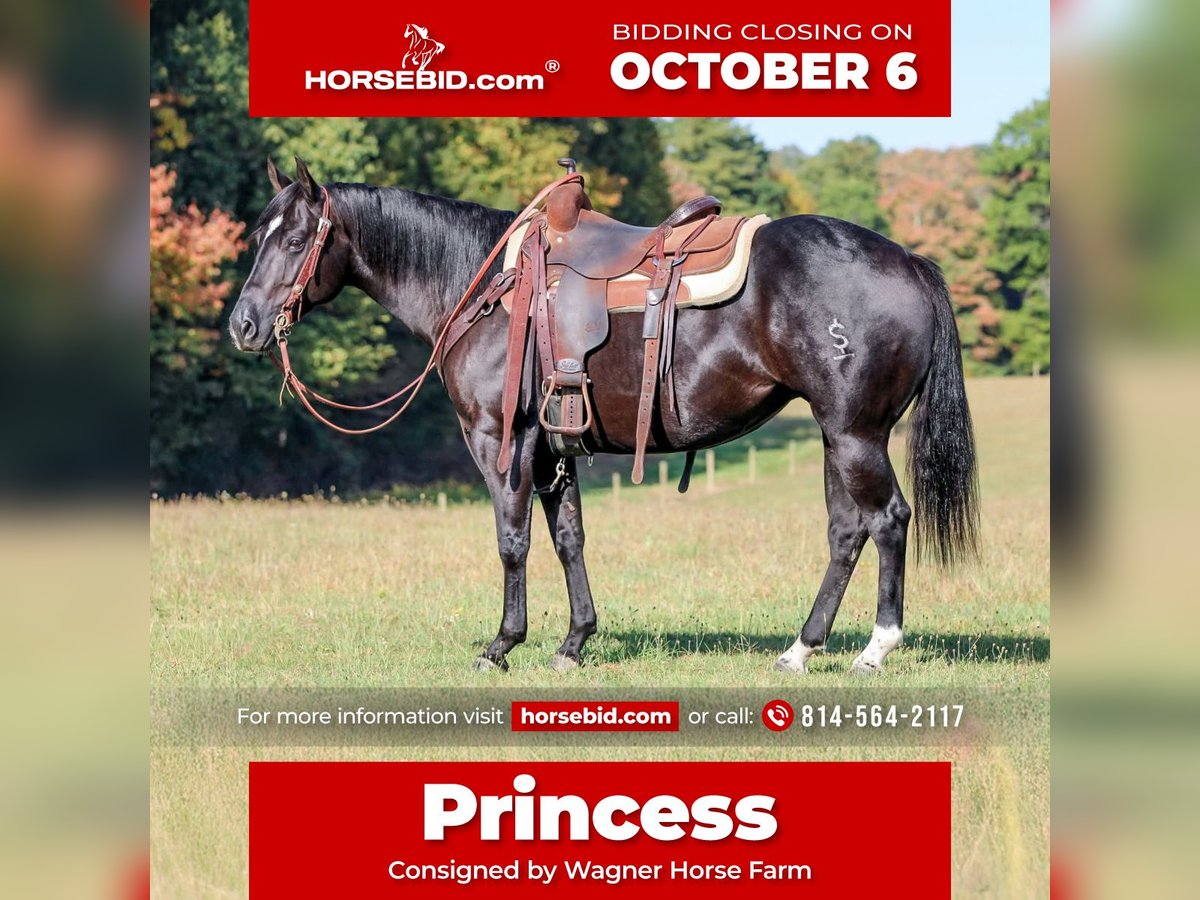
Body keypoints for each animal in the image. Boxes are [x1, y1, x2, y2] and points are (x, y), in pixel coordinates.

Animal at [228, 157, 978, 675]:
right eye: (260, 234)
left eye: (295, 241)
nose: (244, 325)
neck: (484, 284)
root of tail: (907, 260)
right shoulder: (554, 449)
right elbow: (569, 540)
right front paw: (573, 642)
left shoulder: (501, 442)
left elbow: (512, 541)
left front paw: (501, 646)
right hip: (836, 435)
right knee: (847, 532)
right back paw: (801, 649)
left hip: (856, 436)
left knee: (888, 521)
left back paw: (876, 648)